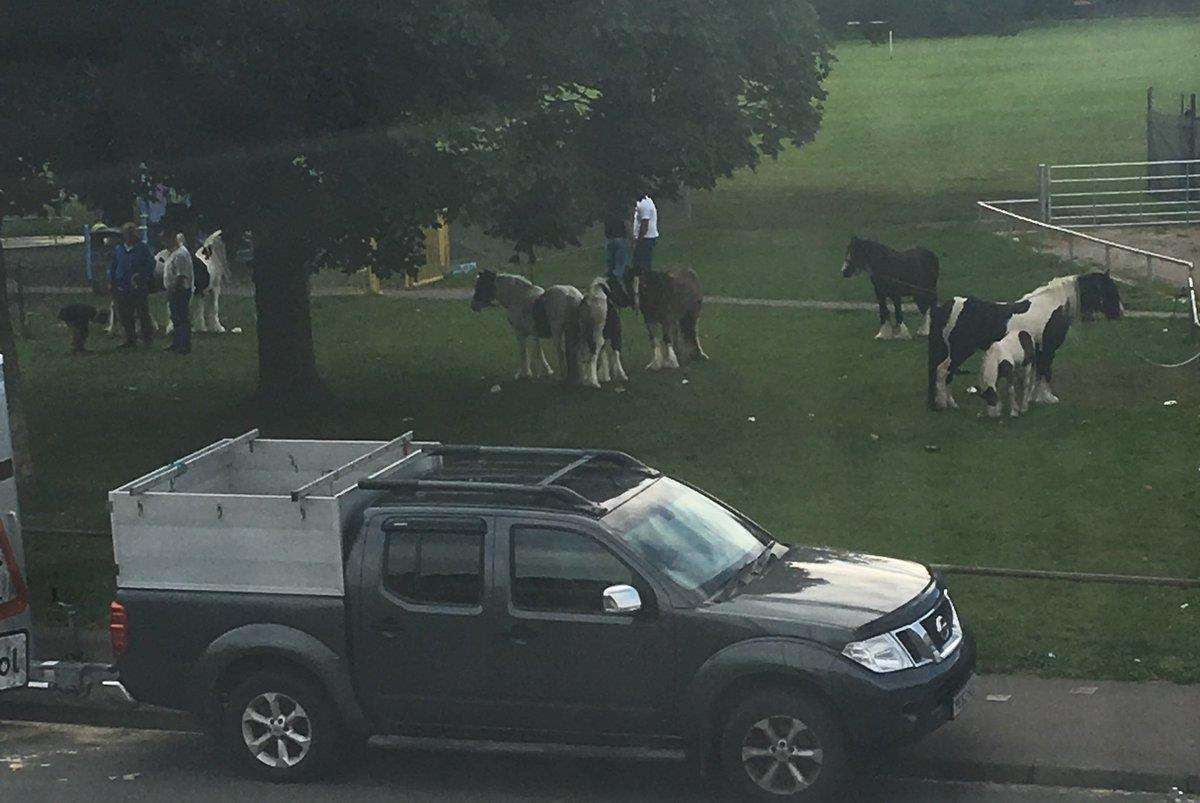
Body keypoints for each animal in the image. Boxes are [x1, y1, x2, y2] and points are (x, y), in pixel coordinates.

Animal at [926, 272, 1123, 412]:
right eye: (1109, 291)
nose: (1120, 313)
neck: (1053, 306)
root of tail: (946, 307)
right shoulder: (1048, 350)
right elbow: (1046, 373)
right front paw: (1048, 398)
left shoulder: (1036, 352)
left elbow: (1036, 375)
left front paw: (1034, 398)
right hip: (960, 351)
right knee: (943, 371)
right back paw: (945, 404)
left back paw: (949, 403)